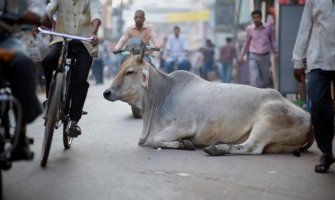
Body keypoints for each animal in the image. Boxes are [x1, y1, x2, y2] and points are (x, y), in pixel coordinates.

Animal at [103, 50, 314, 155]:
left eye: (130, 71)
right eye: (120, 68)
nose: (106, 92)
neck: (161, 95)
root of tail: (307, 116)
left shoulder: (184, 126)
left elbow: (156, 140)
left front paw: (184, 144)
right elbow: (152, 141)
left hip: (267, 121)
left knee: (251, 148)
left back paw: (217, 148)